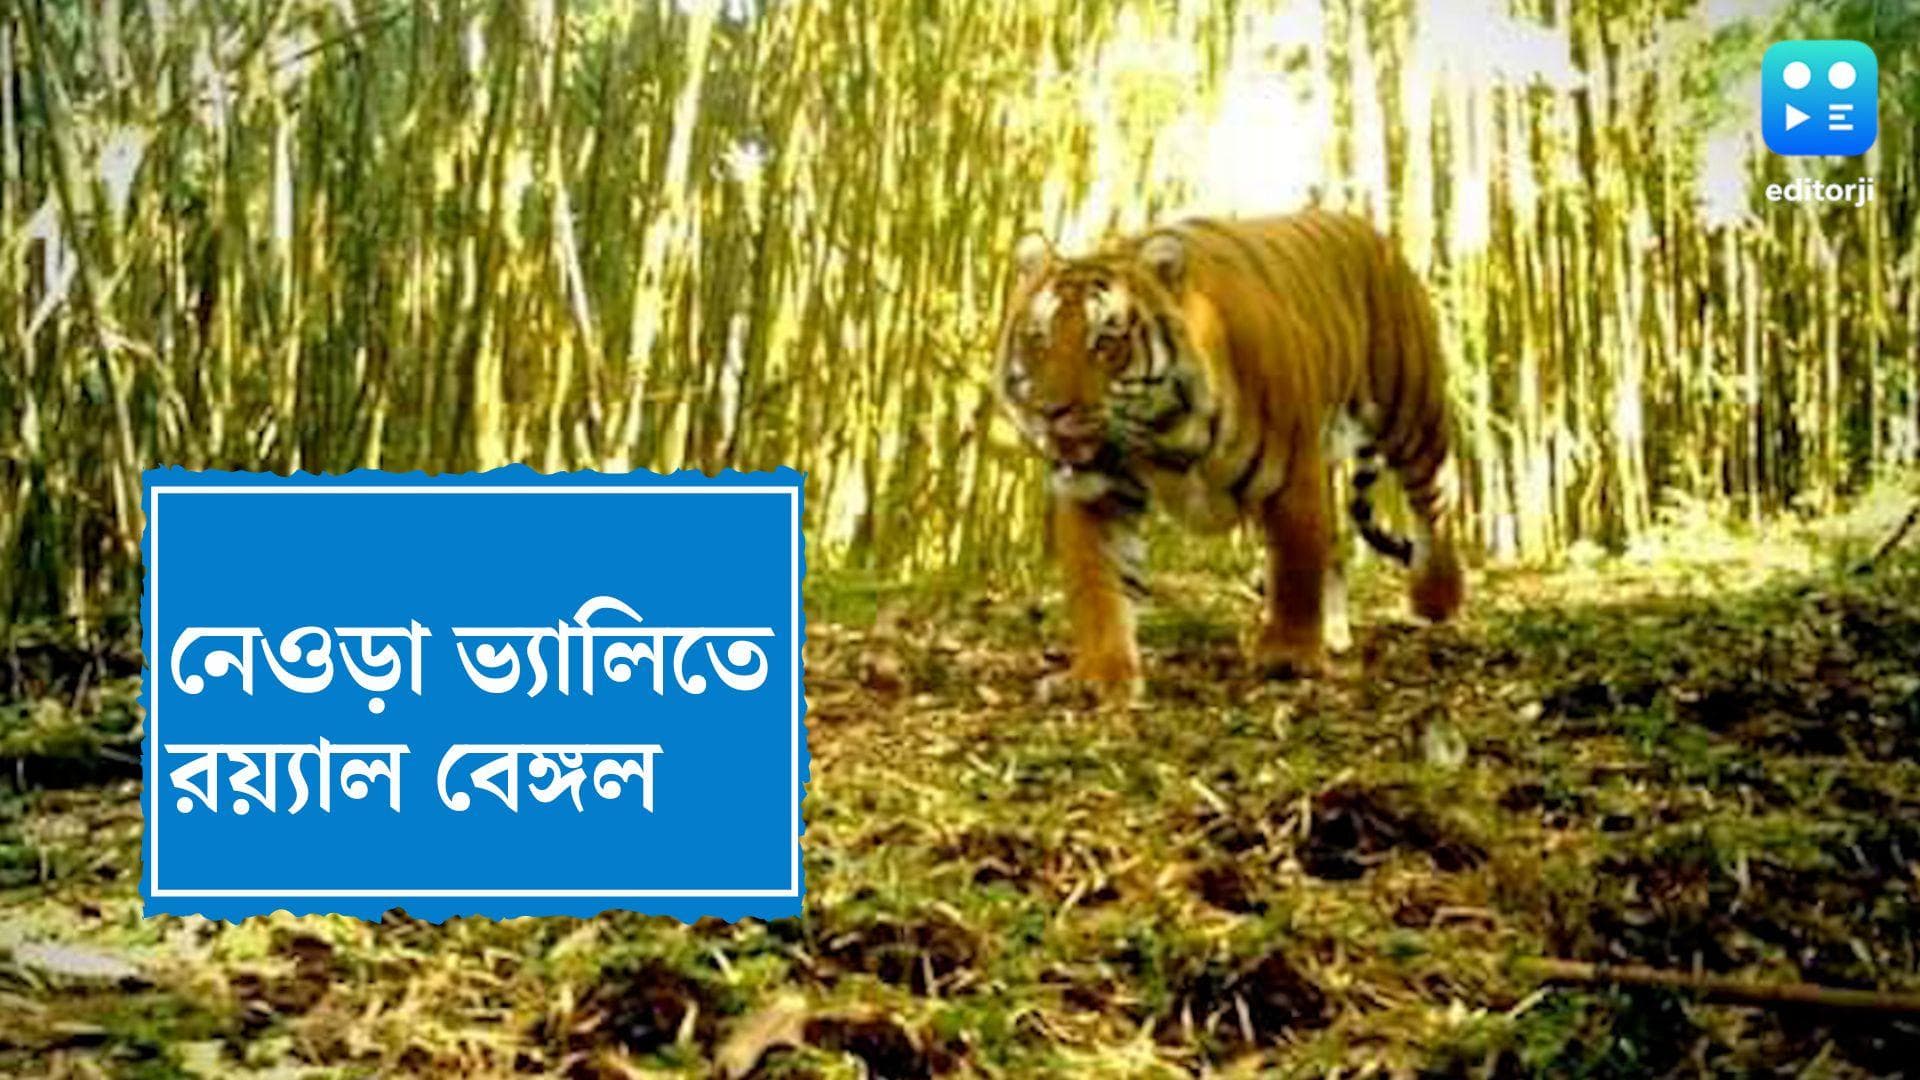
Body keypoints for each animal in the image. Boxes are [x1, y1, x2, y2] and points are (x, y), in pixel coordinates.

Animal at [994, 209, 1465, 696]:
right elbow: (1098, 586)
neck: (1163, 434)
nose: (1050, 411)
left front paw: (1288, 655)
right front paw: (1100, 674)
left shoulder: (1291, 476)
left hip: (1412, 412)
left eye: (1106, 342)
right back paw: (1336, 634)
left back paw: (1435, 599)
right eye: (1038, 339)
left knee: (1436, 499)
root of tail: (1366, 226)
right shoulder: (1098, 493)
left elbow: (1296, 566)